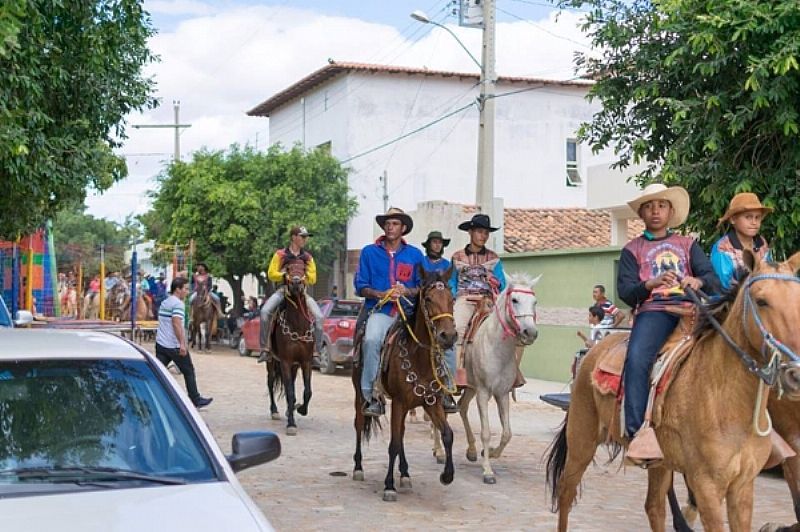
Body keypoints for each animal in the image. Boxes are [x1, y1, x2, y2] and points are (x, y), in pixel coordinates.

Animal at [266, 260, 316, 434]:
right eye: (288, 269)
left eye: (304, 269)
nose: (296, 283)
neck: (297, 326)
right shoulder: (285, 362)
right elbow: (289, 392)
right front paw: (291, 424)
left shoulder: (306, 362)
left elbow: (307, 391)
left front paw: (301, 409)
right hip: (271, 362)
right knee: (270, 383)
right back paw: (274, 411)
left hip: (295, 365)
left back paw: (290, 409)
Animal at [350, 266, 456, 502]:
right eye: (428, 299)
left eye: (452, 298)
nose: (449, 336)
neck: (420, 358)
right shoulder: (398, 402)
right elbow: (394, 444)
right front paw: (389, 486)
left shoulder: (431, 403)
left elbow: (447, 434)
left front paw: (447, 475)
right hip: (360, 394)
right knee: (360, 425)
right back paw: (358, 468)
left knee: (402, 432)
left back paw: (405, 473)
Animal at [434, 272, 540, 484]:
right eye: (514, 300)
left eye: (534, 302)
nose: (530, 332)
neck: (496, 347)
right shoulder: (483, 392)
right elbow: (486, 432)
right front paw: (488, 471)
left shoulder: (502, 393)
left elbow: (507, 433)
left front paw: (488, 453)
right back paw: (439, 452)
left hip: (470, 388)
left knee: (462, 408)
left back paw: (471, 451)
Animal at [548, 250, 800, 532]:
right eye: (761, 301)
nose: (795, 374)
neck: (730, 403)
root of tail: (594, 349)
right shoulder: (706, 485)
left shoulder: (743, 486)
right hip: (582, 440)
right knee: (566, 492)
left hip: (659, 461)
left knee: (654, 506)